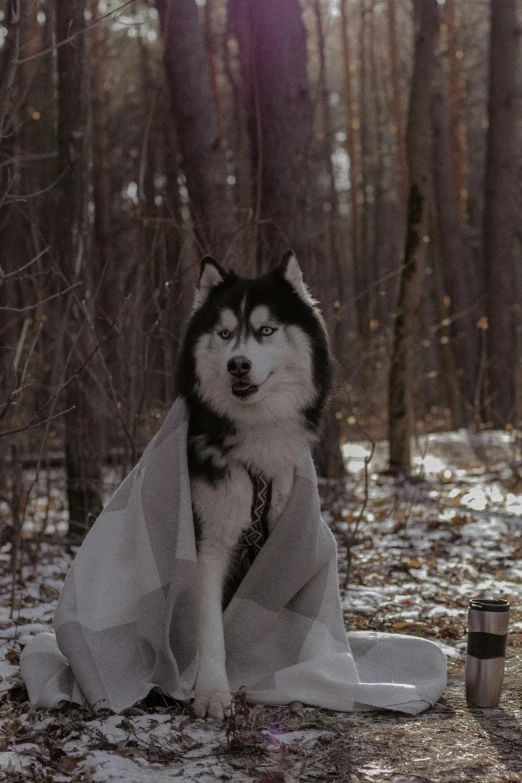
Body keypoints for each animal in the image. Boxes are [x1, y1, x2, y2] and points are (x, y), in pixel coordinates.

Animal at [177, 250, 332, 716]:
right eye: (225, 332)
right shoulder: (208, 542)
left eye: (266, 329)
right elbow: (210, 627)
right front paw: (212, 692)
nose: (238, 365)